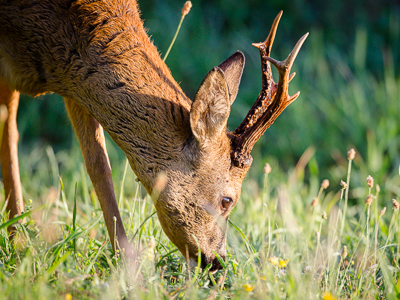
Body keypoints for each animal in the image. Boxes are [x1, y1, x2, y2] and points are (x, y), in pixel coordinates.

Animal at [0, 0, 308, 270]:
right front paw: (17, 242)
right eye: (227, 200)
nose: (217, 262)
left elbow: (99, 166)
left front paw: (125, 263)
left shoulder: (74, 82)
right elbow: (10, 137)